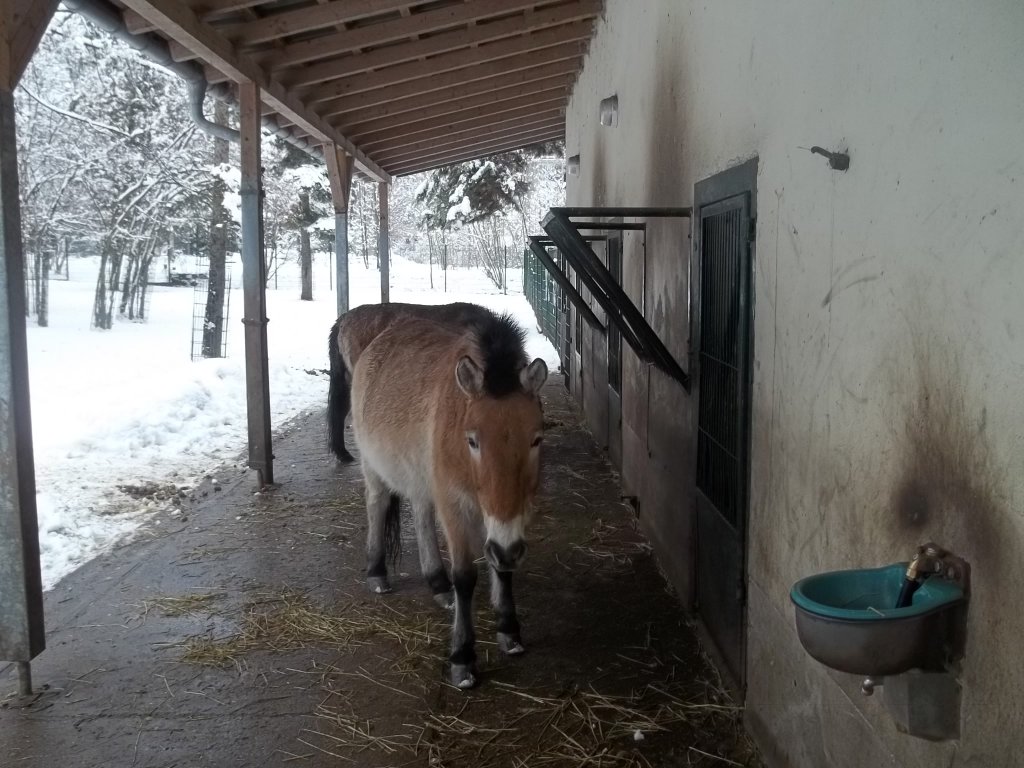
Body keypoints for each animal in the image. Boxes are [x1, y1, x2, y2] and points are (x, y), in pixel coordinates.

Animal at [350, 313, 548, 692]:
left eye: (536, 439)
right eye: (472, 440)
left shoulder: (511, 516)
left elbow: (502, 563)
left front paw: (509, 631)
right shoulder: (455, 507)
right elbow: (466, 577)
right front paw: (462, 658)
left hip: (421, 478)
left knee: (421, 513)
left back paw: (438, 584)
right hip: (374, 466)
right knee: (377, 504)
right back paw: (377, 572)